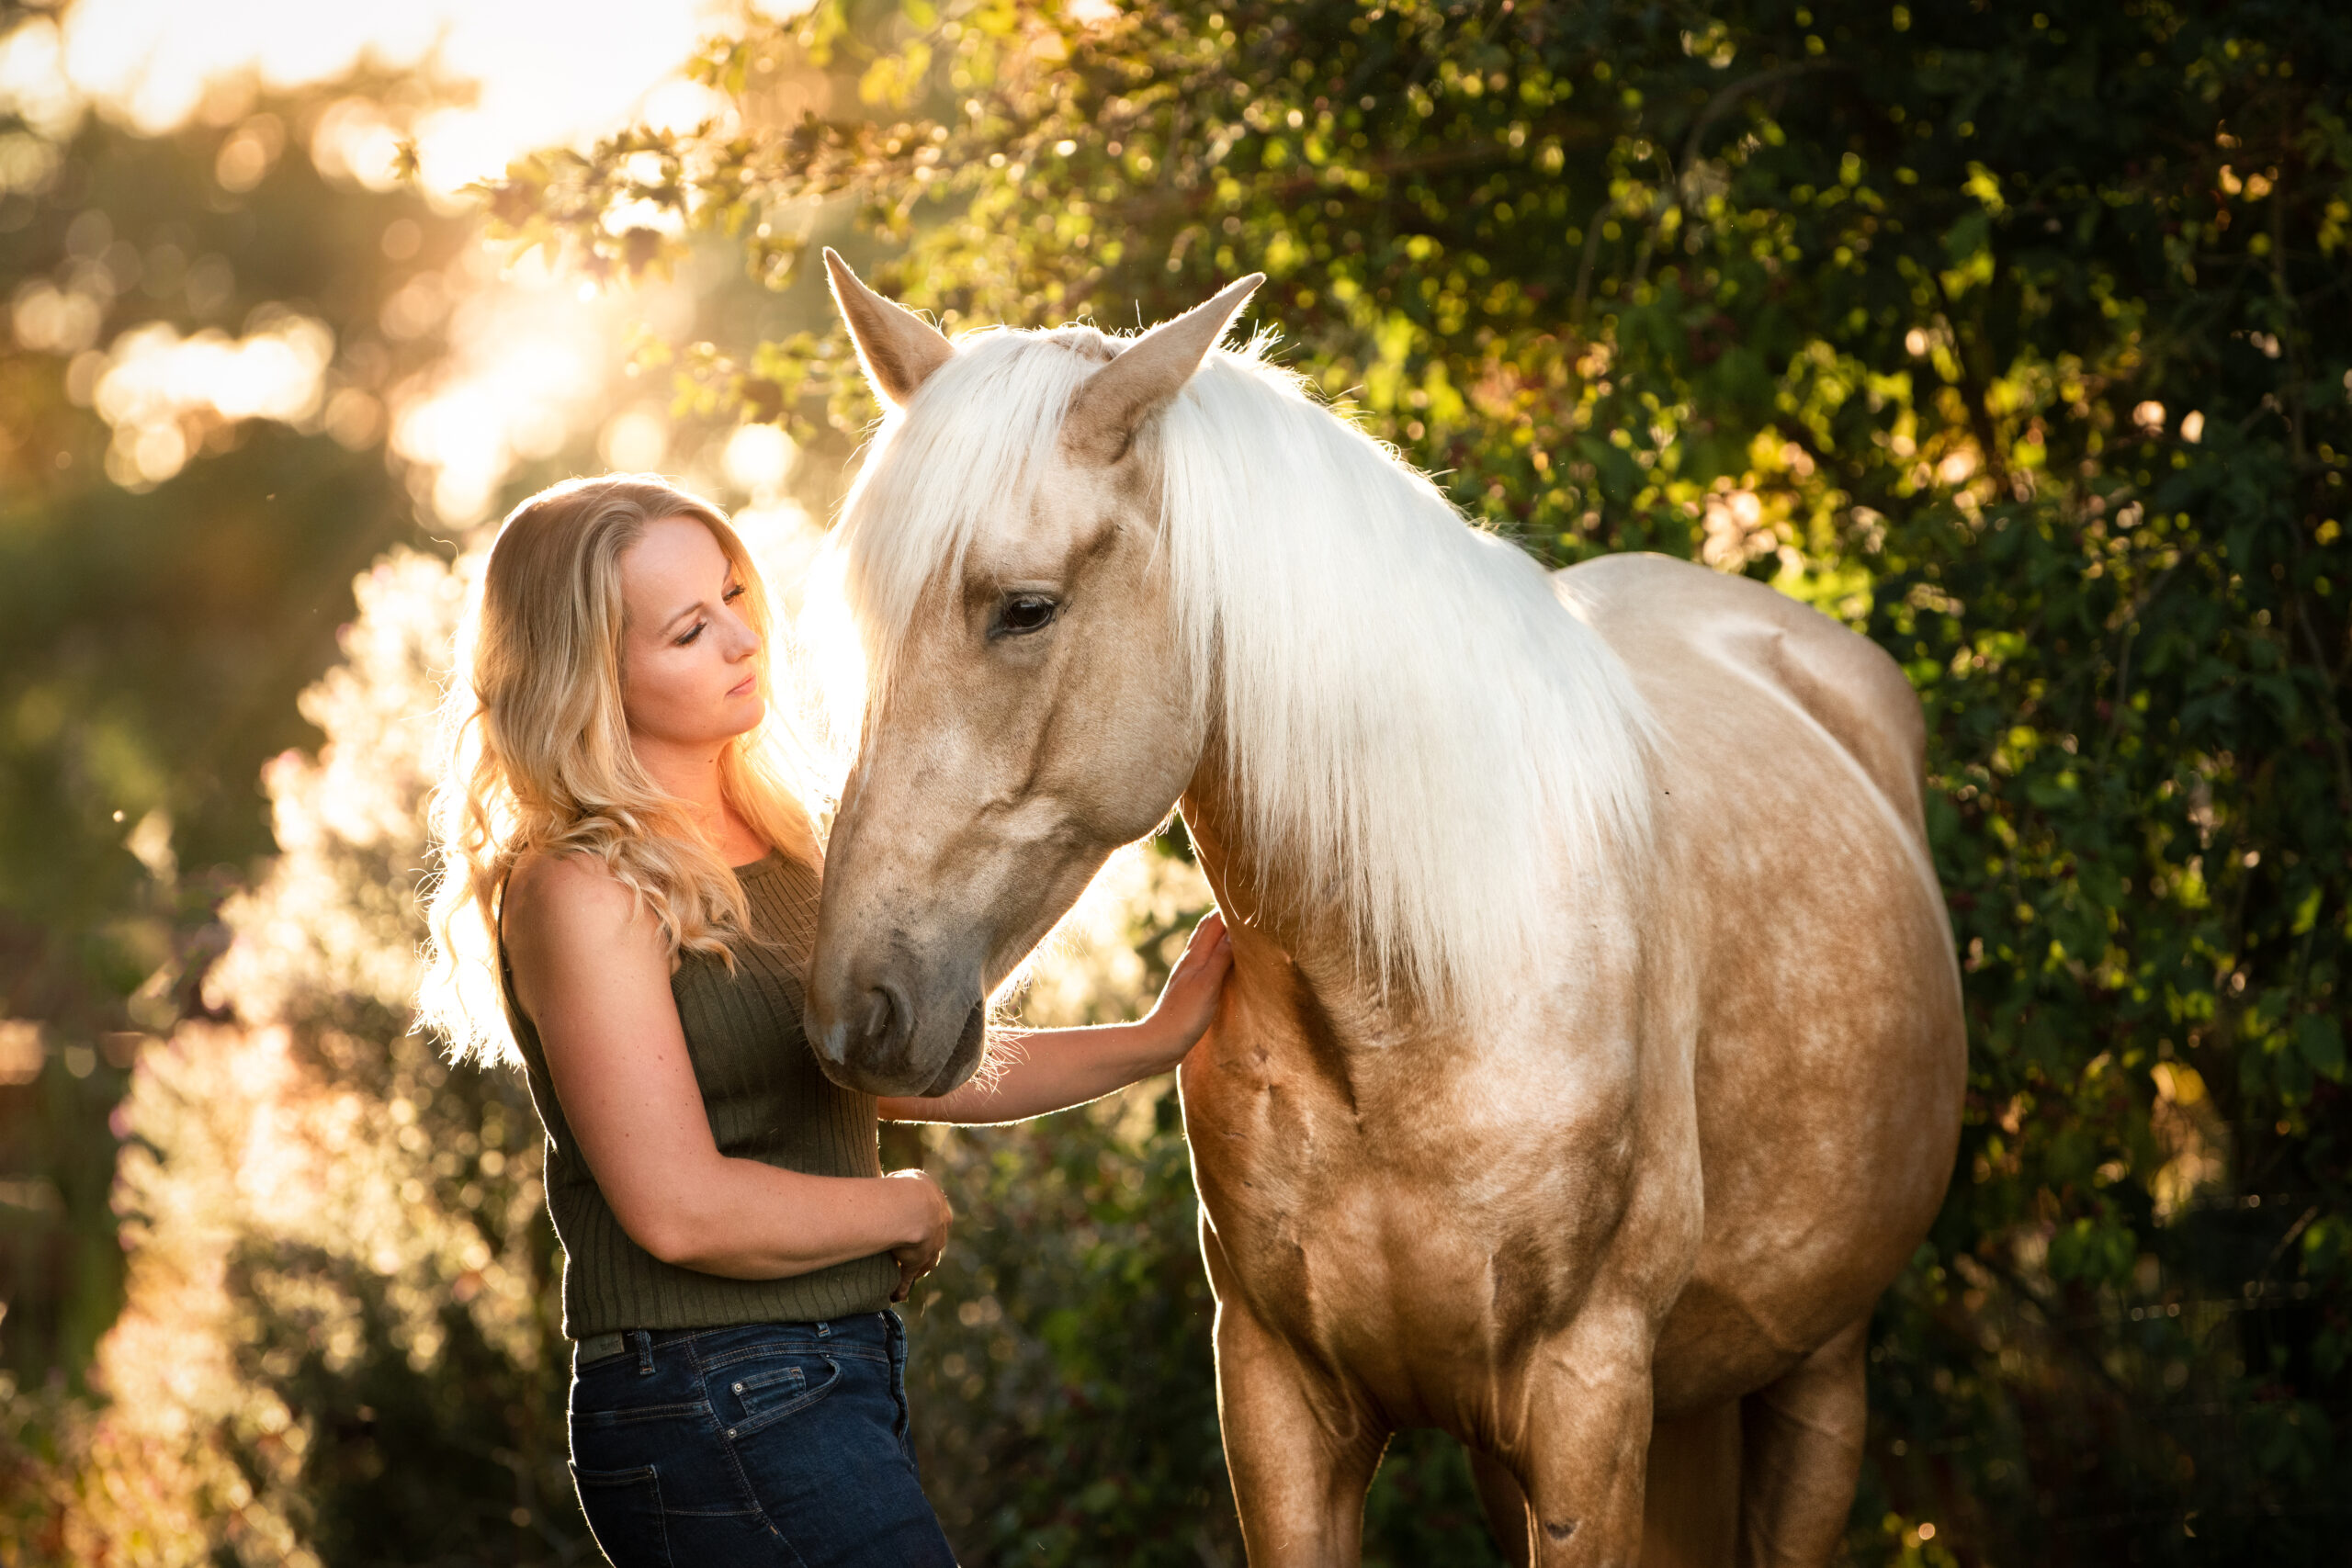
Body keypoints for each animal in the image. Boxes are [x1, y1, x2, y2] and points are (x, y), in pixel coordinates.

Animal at [802, 250, 1966, 1567]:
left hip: (1818, 1380)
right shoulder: (1281, 1403)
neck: (1405, 1008)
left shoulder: (1588, 1407)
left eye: (1026, 608)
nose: (856, 1012)